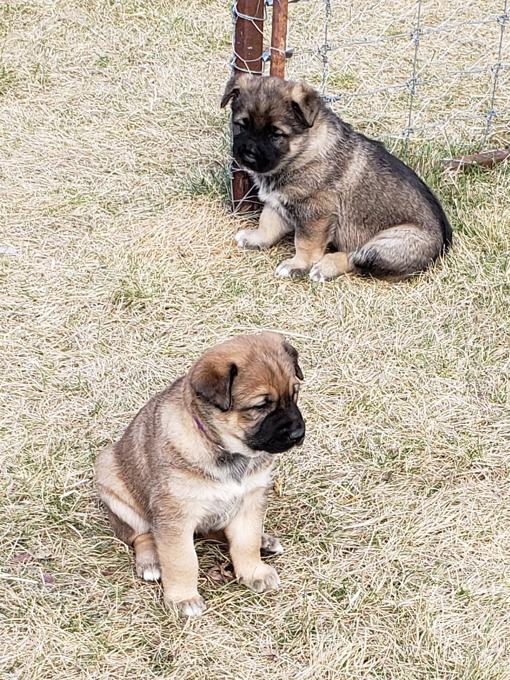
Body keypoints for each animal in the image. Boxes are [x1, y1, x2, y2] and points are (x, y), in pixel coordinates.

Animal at [94, 332, 304, 620]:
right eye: (260, 406)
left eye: (295, 394)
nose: (298, 434)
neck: (225, 450)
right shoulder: (175, 516)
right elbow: (182, 560)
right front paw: (183, 598)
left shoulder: (250, 498)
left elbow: (246, 540)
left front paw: (254, 571)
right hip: (111, 481)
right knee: (140, 535)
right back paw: (150, 561)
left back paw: (264, 541)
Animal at [221, 76, 452, 282]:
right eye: (241, 125)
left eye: (275, 134)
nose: (248, 153)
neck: (302, 152)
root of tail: (444, 246)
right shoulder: (277, 201)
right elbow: (267, 223)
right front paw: (255, 238)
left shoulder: (316, 213)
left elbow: (304, 243)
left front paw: (297, 265)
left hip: (388, 244)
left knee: (356, 257)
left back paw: (325, 267)